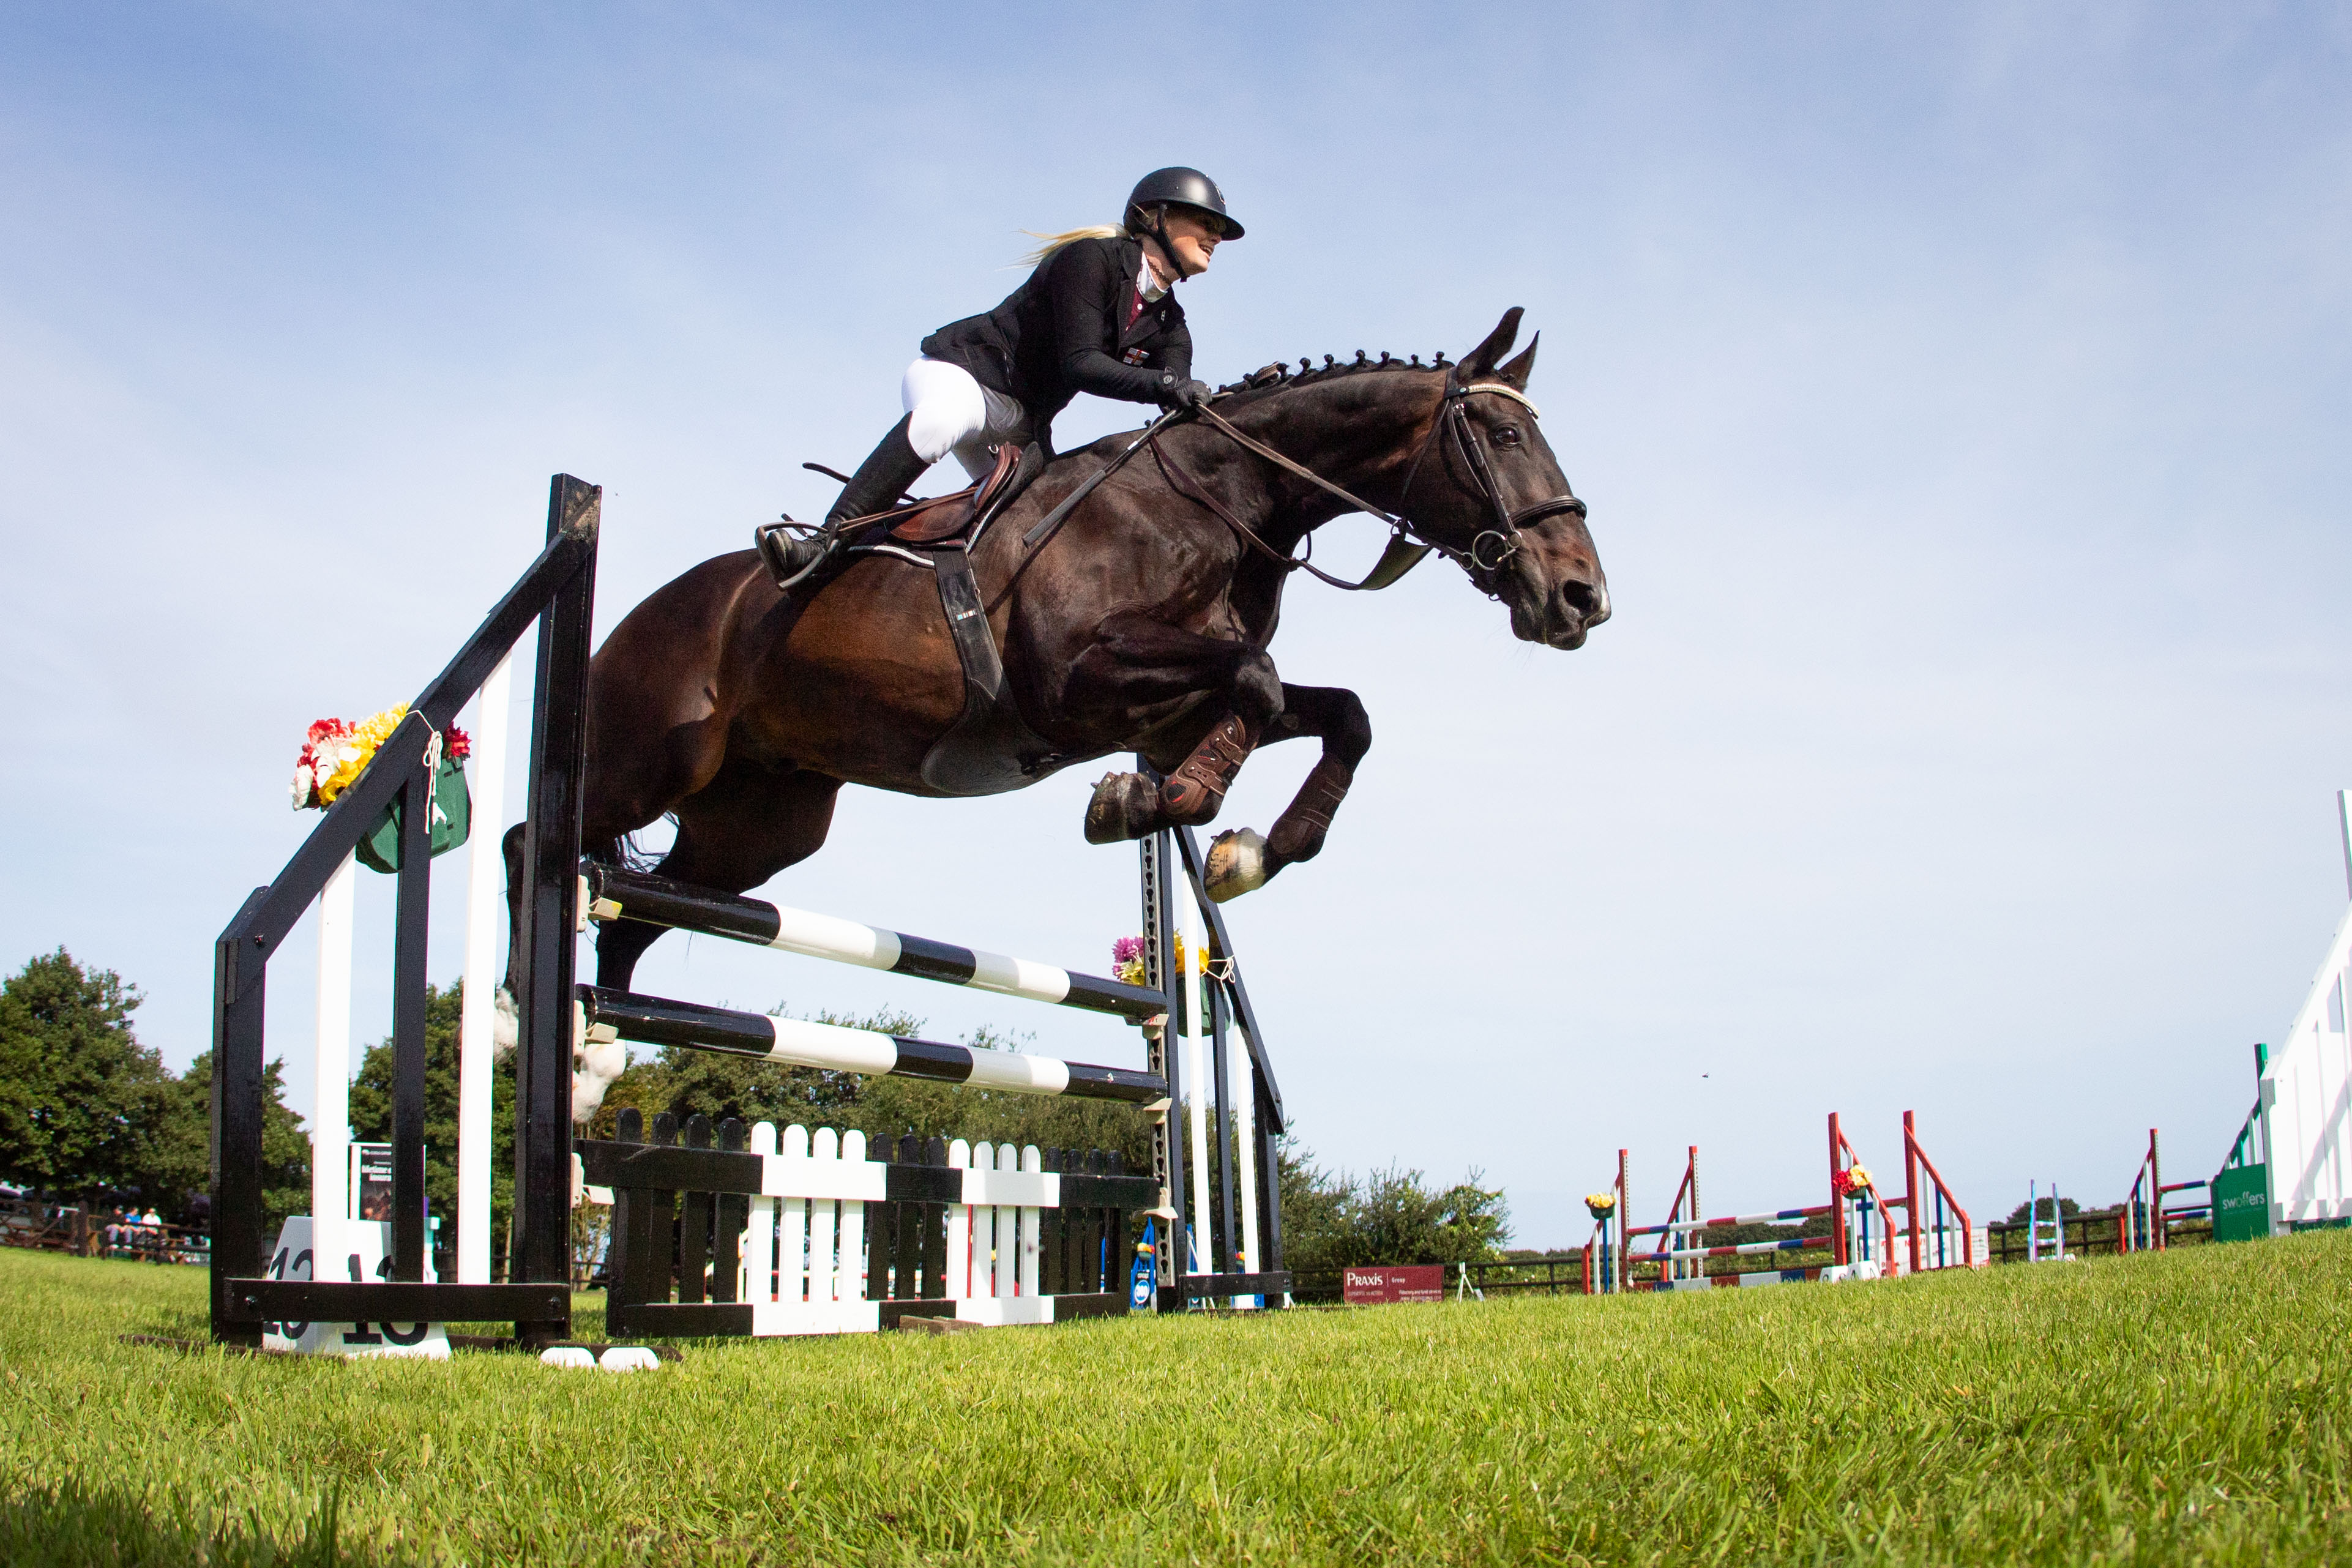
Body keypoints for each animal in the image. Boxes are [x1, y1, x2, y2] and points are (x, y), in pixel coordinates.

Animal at [519, 308, 1610, 998]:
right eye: (1502, 435)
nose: (1582, 598)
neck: (1222, 497)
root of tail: (640, 611)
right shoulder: (1075, 680)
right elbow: (1256, 685)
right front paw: (1154, 805)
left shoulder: (1166, 706)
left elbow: (1338, 711)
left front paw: (1245, 849)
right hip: (645, 760)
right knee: (539, 844)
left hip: (757, 825)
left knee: (638, 917)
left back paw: (593, 1076)